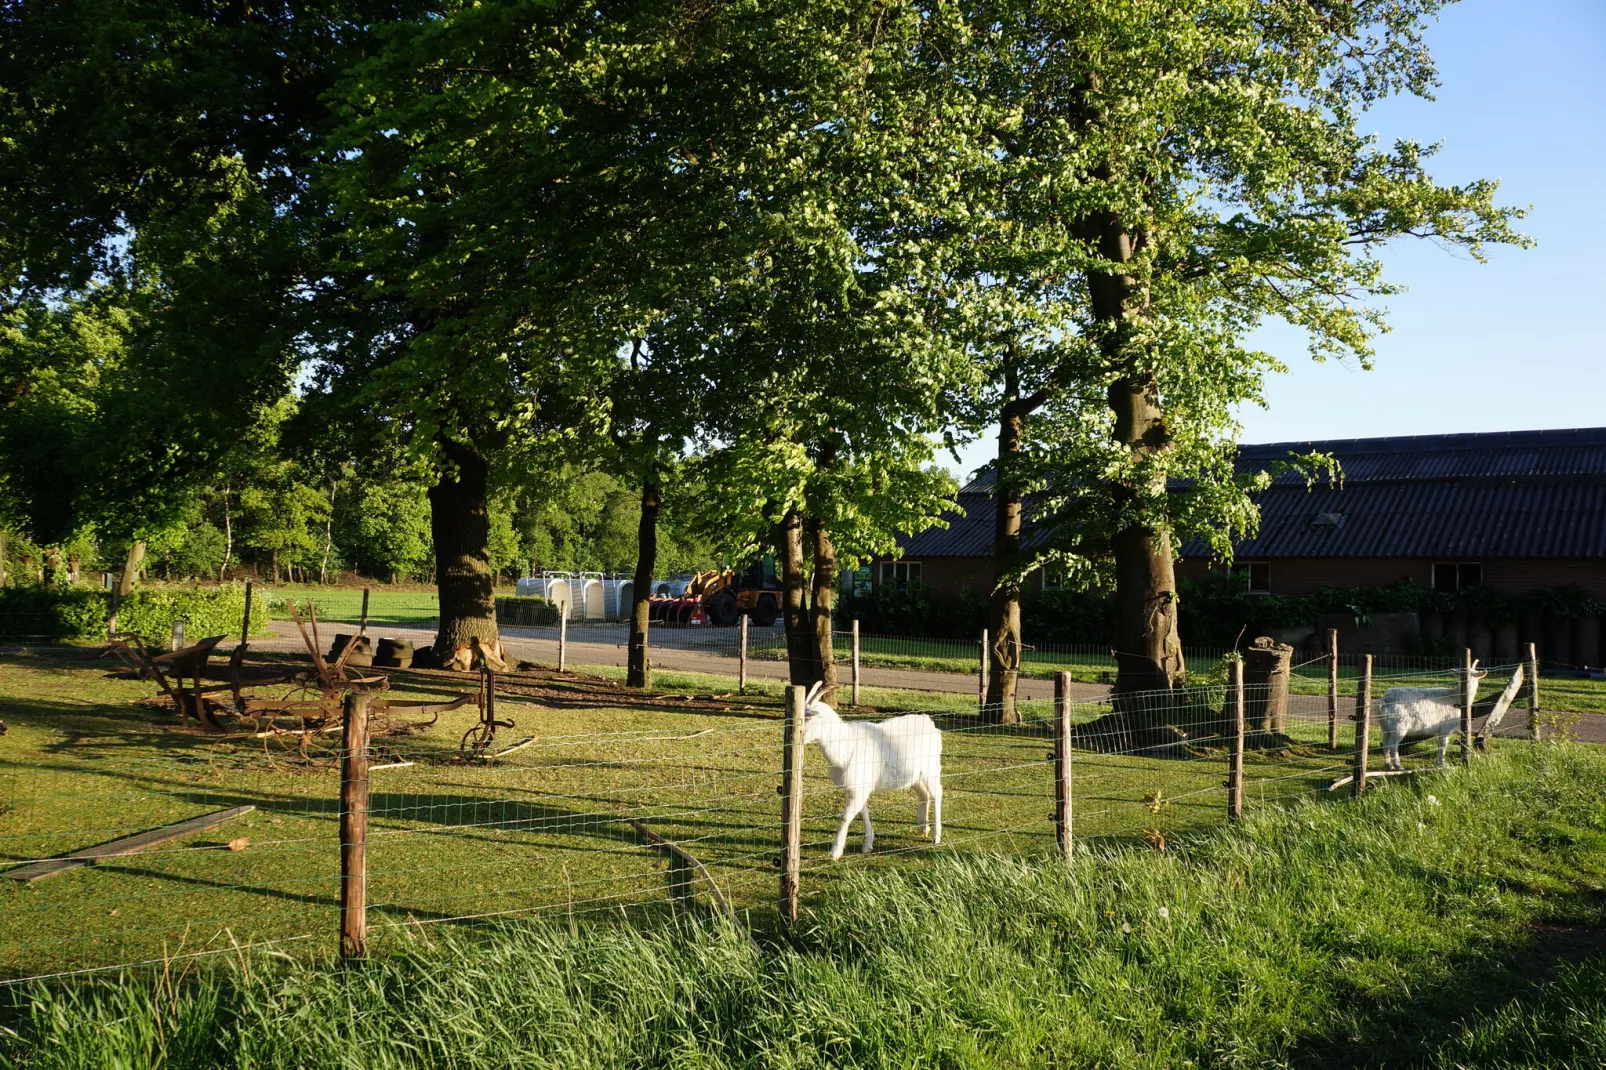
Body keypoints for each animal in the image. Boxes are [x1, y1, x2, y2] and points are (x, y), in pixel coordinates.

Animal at [799, 684, 937, 861]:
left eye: (809, 718)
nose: (798, 737)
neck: (847, 746)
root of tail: (928, 722)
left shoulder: (859, 788)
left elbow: (845, 816)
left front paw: (835, 852)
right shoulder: (858, 788)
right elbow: (863, 813)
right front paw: (867, 845)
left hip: (931, 768)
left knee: (938, 794)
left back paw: (936, 836)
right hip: (913, 776)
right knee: (924, 793)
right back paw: (923, 829)